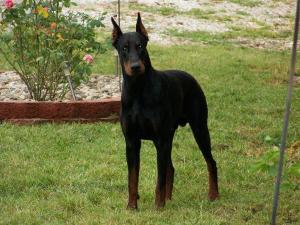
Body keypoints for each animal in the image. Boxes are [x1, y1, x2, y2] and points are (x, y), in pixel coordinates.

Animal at [111, 12, 219, 209]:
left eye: (140, 46)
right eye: (124, 48)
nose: (136, 67)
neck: (138, 90)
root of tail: (191, 77)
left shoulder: (160, 140)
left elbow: (159, 179)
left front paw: (158, 207)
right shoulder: (131, 142)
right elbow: (133, 178)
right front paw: (132, 207)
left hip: (199, 128)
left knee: (211, 162)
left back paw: (213, 195)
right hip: (169, 136)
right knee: (171, 168)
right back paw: (169, 198)